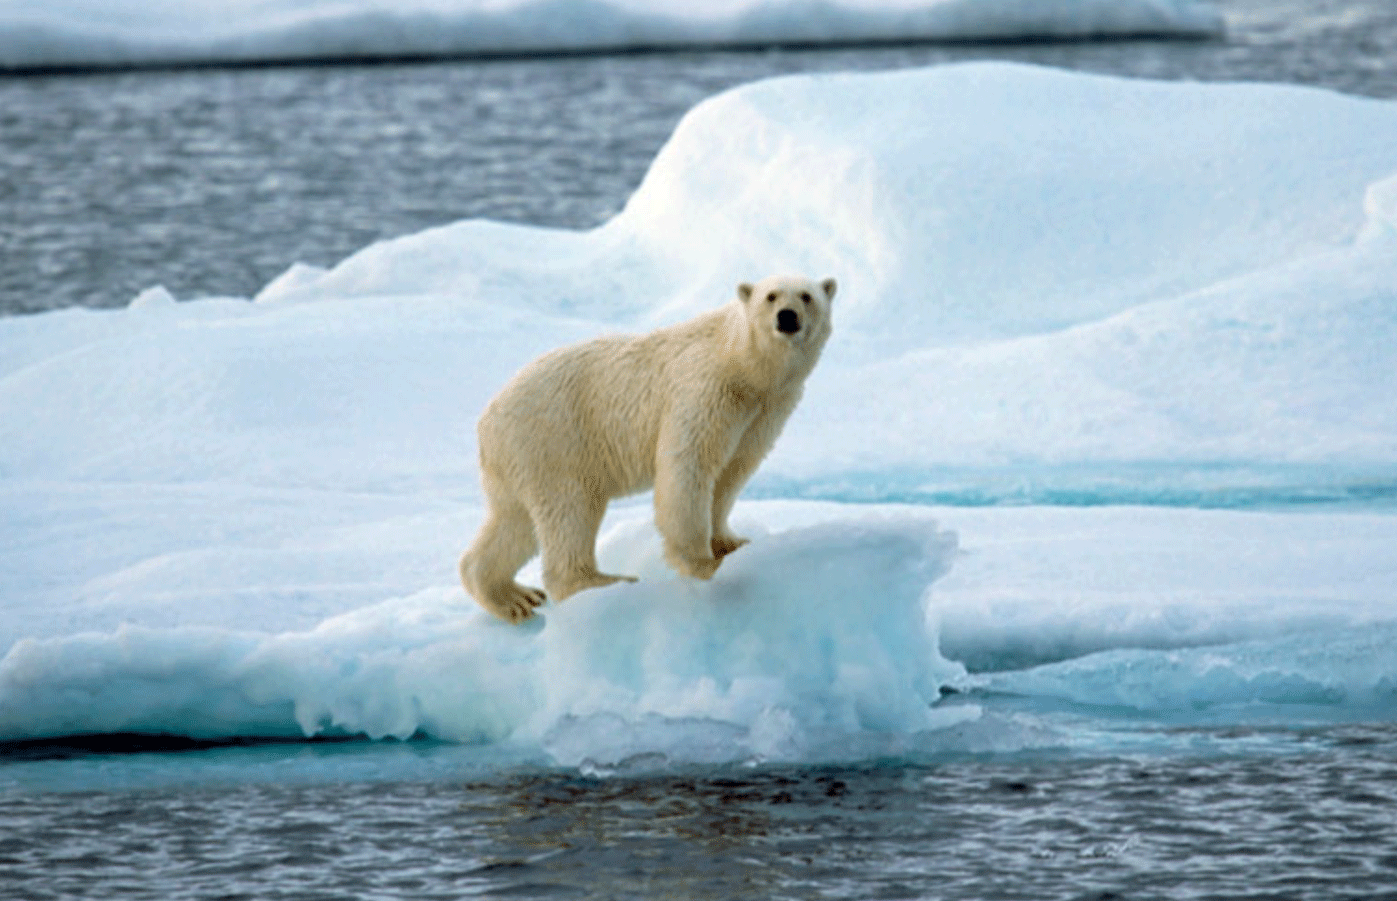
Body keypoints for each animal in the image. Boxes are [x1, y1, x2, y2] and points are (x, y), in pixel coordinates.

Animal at [458, 273, 832, 623]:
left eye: (807, 296)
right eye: (771, 296)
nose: (787, 317)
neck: (741, 361)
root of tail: (487, 420)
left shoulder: (765, 410)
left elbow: (733, 471)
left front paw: (732, 542)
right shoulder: (706, 388)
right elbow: (690, 464)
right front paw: (702, 565)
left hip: (519, 459)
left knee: (514, 521)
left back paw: (512, 597)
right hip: (555, 439)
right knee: (569, 509)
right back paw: (601, 581)